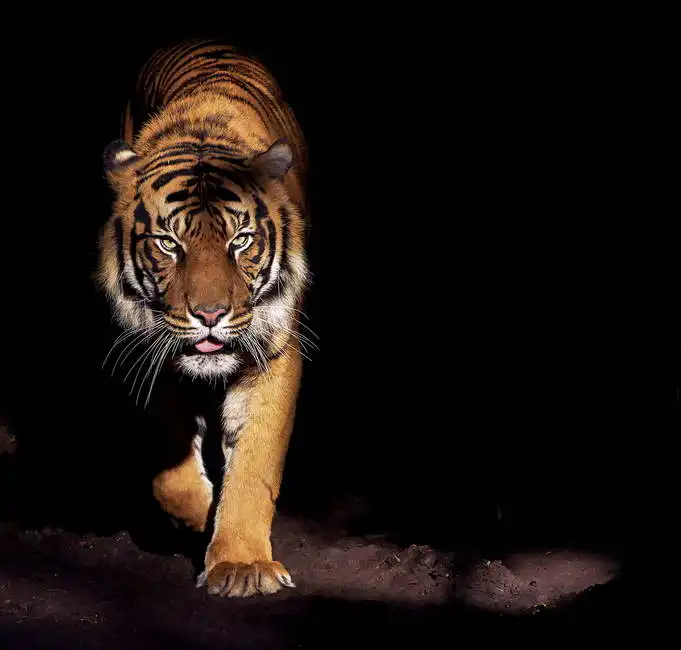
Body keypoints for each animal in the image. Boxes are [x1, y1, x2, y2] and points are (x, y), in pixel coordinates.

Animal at [97, 39, 311, 598]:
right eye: (169, 244)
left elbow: (255, 461)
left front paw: (241, 565)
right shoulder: (154, 348)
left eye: (241, 240)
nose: (211, 314)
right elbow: (169, 467)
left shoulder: (274, 350)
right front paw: (197, 515)